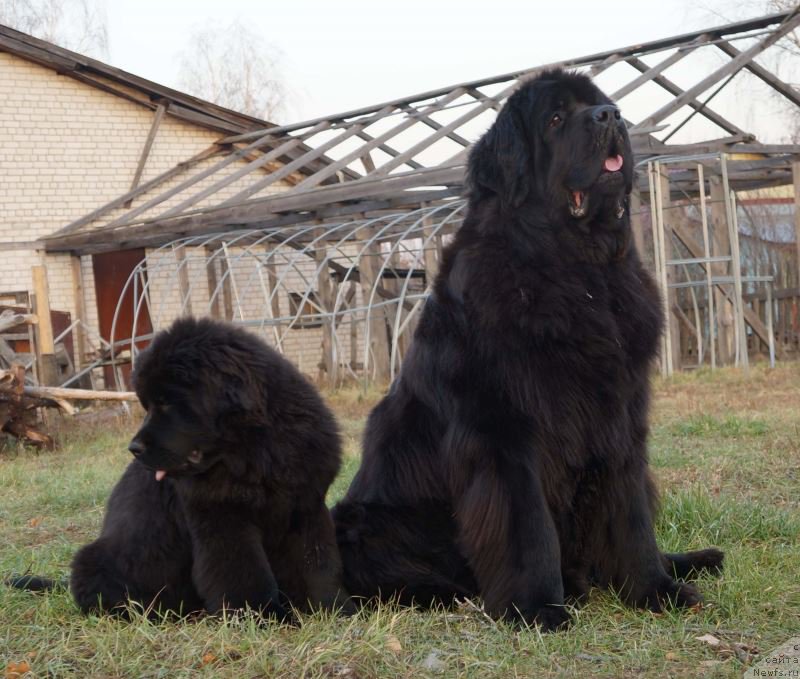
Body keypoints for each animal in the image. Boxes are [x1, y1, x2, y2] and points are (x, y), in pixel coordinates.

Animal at [332, 70, 724, 632]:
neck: (579, 271)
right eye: (556, 118)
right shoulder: (504, 433)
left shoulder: (621, 417)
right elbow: (527, 524)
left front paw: (656, 589)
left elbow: (630, 517)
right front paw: (538, 606)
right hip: (366, 524)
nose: (610, 116)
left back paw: (689, 561)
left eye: (599, 104)